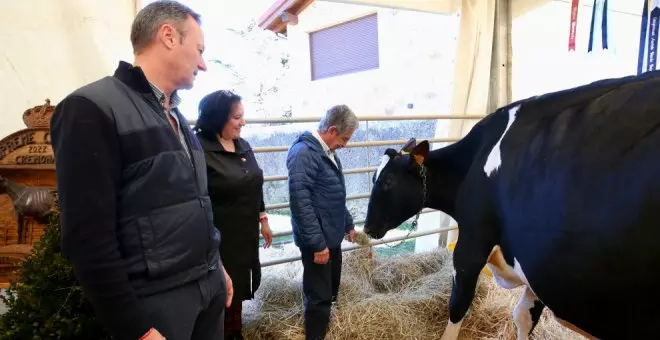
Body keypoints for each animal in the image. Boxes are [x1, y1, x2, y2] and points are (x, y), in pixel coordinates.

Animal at [364, 70, 660, 338]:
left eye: (387, 180)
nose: (366, 228)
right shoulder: (535, 264)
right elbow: (524, 316)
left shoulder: (472, 242)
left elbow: (457, 306)